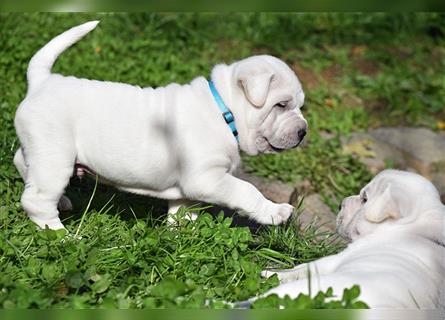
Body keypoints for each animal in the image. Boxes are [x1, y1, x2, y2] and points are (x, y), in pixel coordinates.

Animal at [13, 20, 306, 230]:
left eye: (300, 106)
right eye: (281, 105)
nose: (303, 131)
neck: (224, 110)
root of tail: (41, 81)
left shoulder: (188, 187)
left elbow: (183, 211)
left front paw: (185, 238)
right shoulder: (207, 177)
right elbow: (246, 190)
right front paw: (276, 211)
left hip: (41, 151)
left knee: (22, 162)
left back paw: (60, 201)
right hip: (55, 155)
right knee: (36, 201)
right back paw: (62, 236)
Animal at [256, 171, 444, 308]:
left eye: (365, 199)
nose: (341, 203)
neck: (412, 229)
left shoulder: (335, 259)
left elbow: (301, 268)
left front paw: (271, 271)